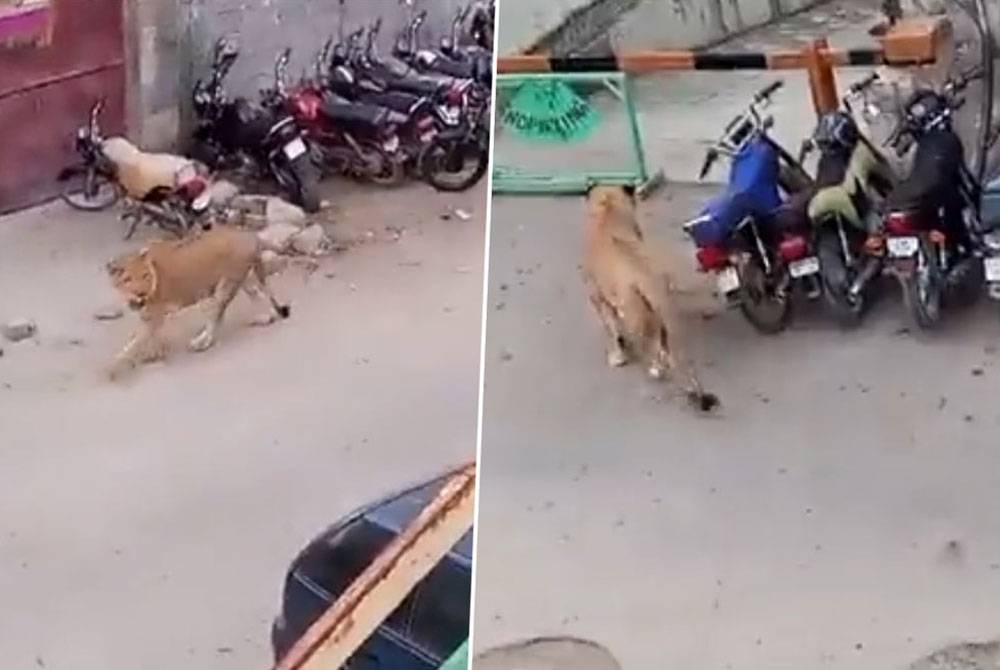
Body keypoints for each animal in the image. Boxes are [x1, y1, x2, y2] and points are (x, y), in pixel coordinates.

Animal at [107, 227, 292, 380]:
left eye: (145, 276)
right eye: (128, 279)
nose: (141, 293)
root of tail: (250, 235)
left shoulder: (154, 316)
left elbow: (134, 343)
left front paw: (114, 368)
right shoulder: (148, 317)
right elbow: (145, 337)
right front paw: (153, 353)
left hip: (220, 288)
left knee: (217, 314)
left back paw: (201, 342)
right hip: (242, 281)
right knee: (259, 295)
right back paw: (264, 318)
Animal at [584, 185, 716, 414]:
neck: (608, 211)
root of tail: (646, 278)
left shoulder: (598, 296)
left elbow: (611, 329)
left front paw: (617, 357)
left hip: (637, 316)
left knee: (654, 350)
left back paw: (655, 370)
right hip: (661, 310)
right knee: (666, 348)